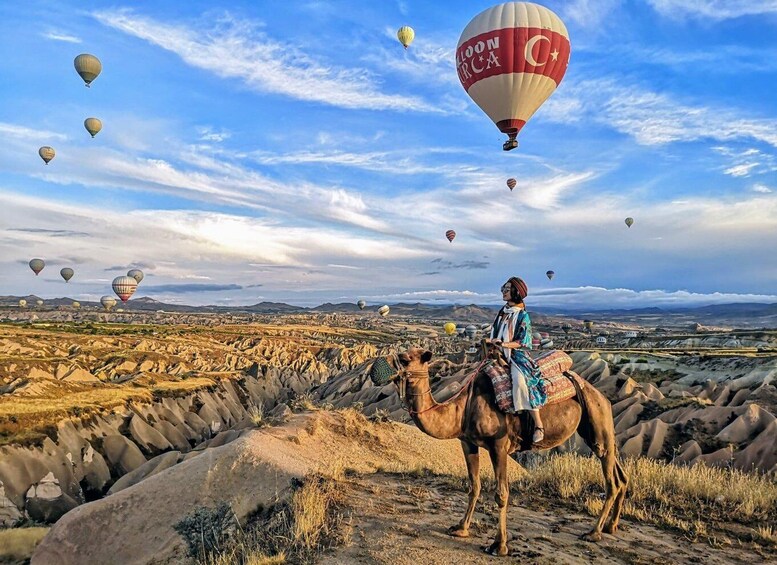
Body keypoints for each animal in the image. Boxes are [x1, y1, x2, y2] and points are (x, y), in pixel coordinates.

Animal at [384, 344, 632, 556]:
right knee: (621, 476)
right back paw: (611, 526)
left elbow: (501, 494)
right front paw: (461, 528)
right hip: (597, 432)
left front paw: (499, 545)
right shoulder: (468, 442)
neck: (462, 408)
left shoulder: (498, 446)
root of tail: (602, 396)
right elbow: (474, 486)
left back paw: (594, 532)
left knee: (611, 480)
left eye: (405, 359)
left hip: (598, 423)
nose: (385, 364)